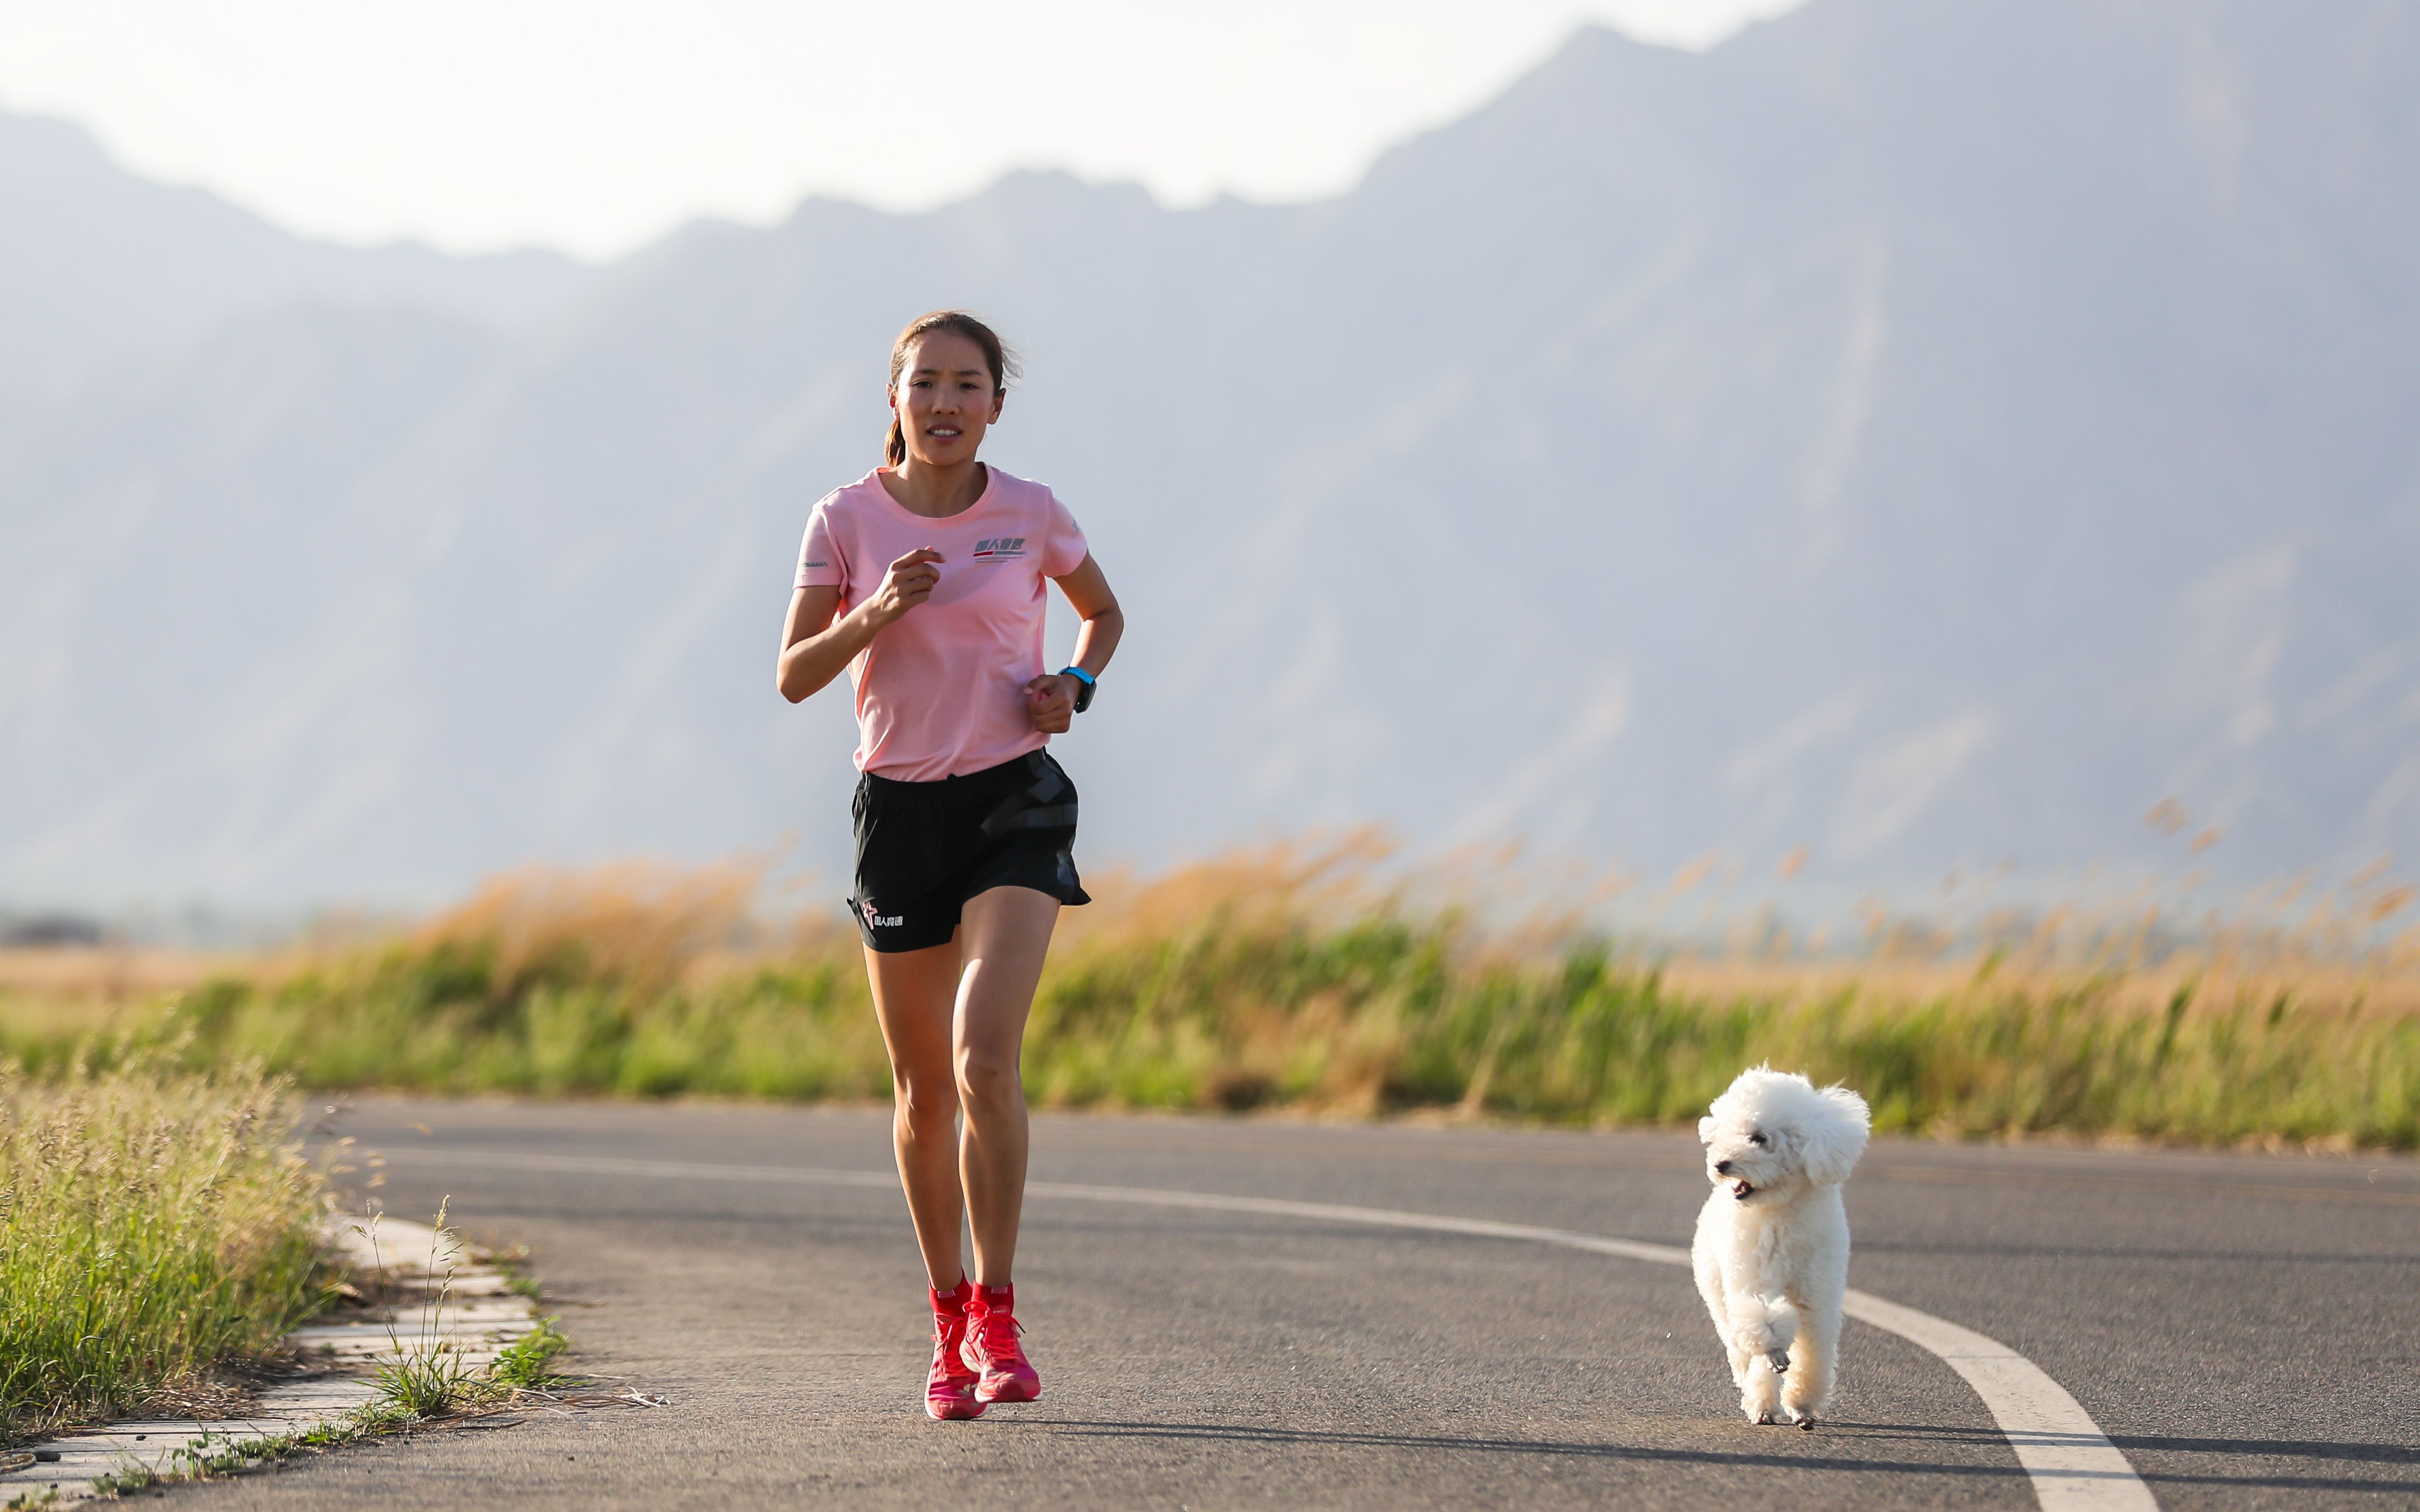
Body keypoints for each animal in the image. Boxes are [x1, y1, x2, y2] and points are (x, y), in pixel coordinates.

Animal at [1694, 1059, 1878, 1422]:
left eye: (1759, 1138)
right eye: (1729, 1134)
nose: (1721, 1164)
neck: (1780, 1211)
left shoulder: (1817, 1296)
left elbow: (1814, 1351)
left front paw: (1803, 1405)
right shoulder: (1755, 1284)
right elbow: (1764, 1328)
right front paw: (1764, 1402)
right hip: (1717, 1286)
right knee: (1737, 1342)